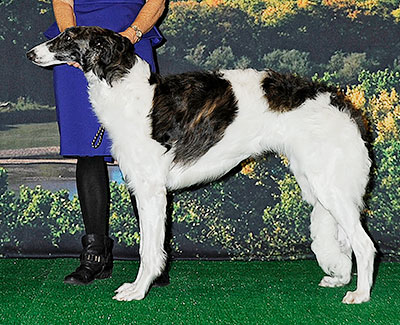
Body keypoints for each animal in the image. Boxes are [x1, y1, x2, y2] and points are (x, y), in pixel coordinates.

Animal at [26, 26, 376, 302]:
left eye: (68, 36)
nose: (30, 53)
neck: (127, 91)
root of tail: (345, 106)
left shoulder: (152, 190)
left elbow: (148, 250)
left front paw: (138, 290)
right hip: (317, 183)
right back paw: (340, 279)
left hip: (329, 186)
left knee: (365, 244)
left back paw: (360, 294)